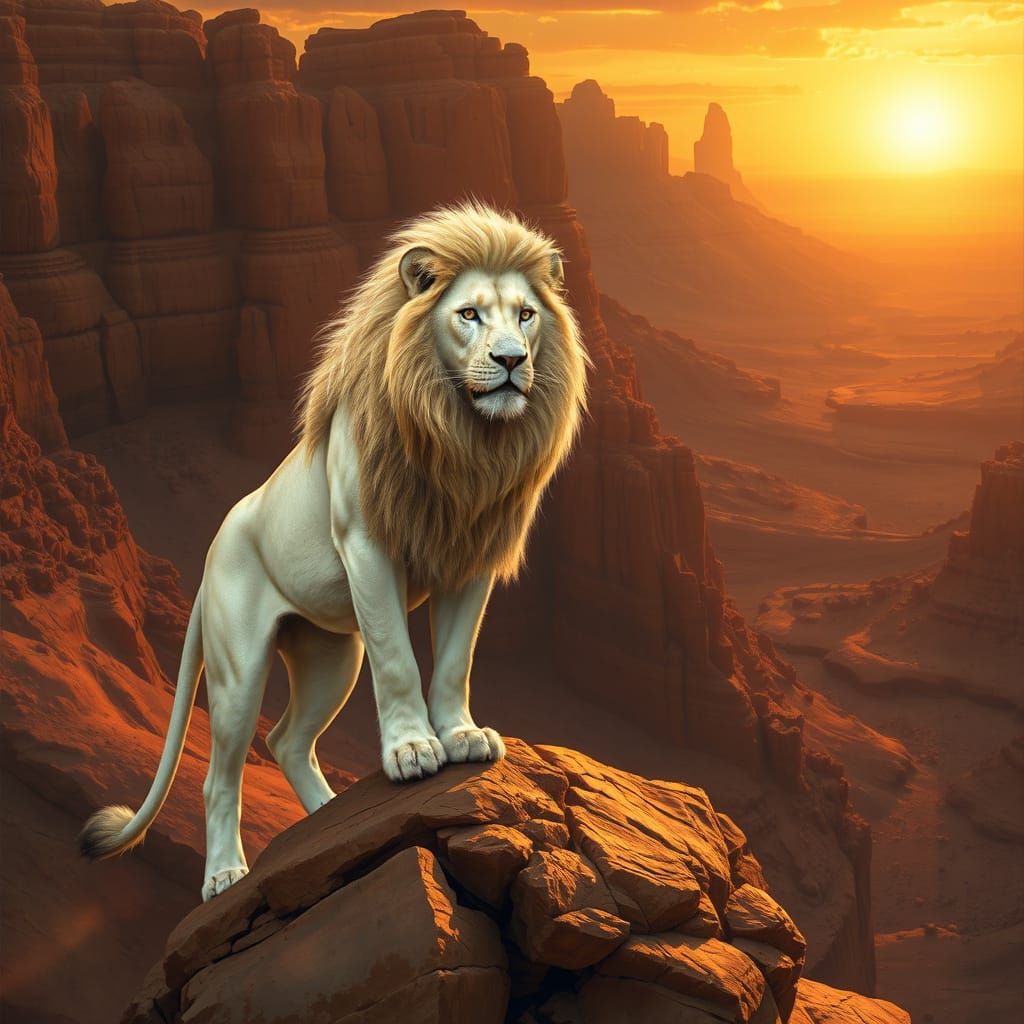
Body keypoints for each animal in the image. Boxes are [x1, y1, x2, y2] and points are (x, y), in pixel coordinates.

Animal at [78, 200, 591, 901]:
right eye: (468, 314)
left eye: (526, 315)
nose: (512, 360)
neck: (462, 439)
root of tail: (209, 558)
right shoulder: (366, 542)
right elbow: (399, 659)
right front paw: (412, 751)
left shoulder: (471, 553)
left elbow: (455, 659)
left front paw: (462, 736)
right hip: (239, 666)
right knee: (220, 773)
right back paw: (225, 875)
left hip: (330, 656)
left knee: (287, 740)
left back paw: (326, 821)